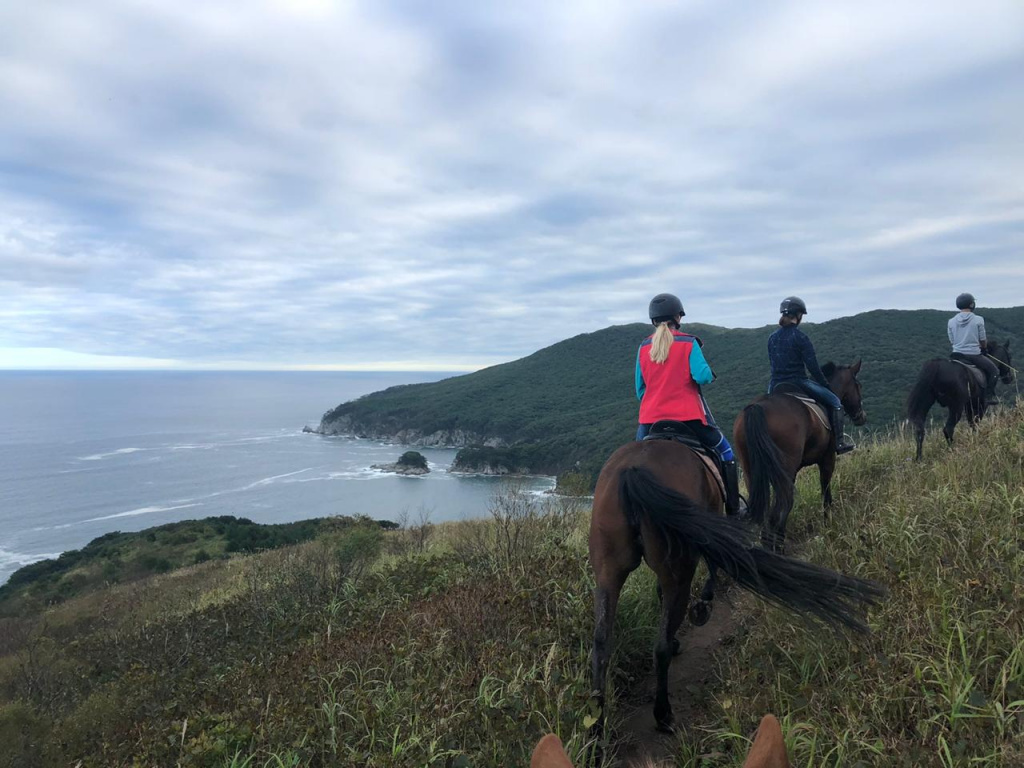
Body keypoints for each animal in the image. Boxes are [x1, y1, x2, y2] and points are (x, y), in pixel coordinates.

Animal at [589, 436, 884, 737]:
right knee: (658, 647)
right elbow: (711, 569)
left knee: (601, 642)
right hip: (678, 571)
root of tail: (632, 472)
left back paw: (597, 727)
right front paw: (703, 605)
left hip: (608, 571)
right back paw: (663, 715)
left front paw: (684, 629)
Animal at [733, 360, 868, 552]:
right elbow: (826, 492)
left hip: (751, 472)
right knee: (779, 510)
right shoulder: (827, 459)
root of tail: (756, 408)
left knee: (766, 513)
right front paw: (829, 524)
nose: (861, 416)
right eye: (858, 385)